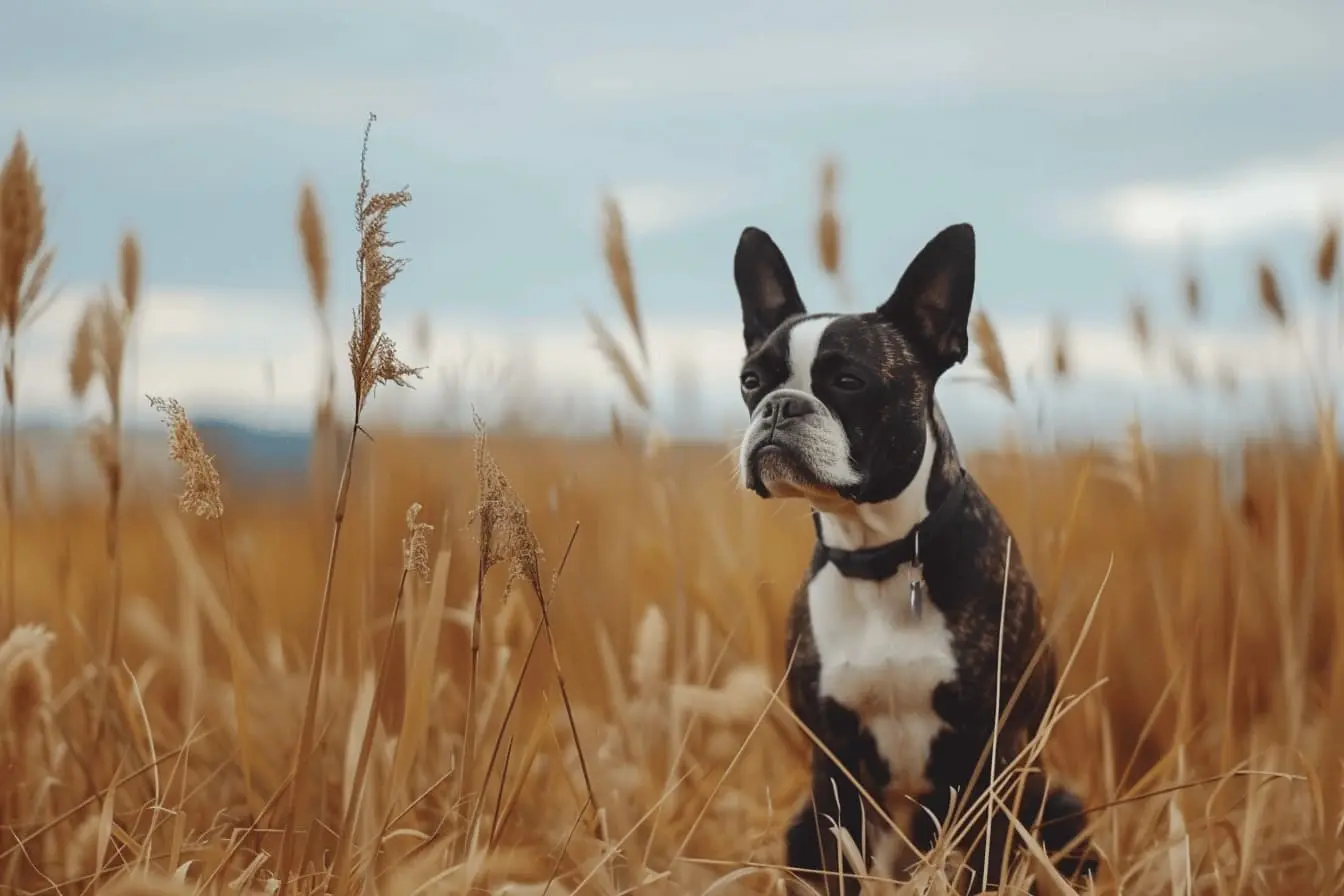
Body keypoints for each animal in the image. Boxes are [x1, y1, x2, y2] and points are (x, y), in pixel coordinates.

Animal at [731, 220, 1096, 891]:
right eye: (751, 381)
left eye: (849, 381)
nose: (780, 405)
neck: (880, 557)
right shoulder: (835, 765)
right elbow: (840, 865)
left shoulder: (996, 754)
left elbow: (988, 866)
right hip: (802, 823)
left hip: (1057, 802)